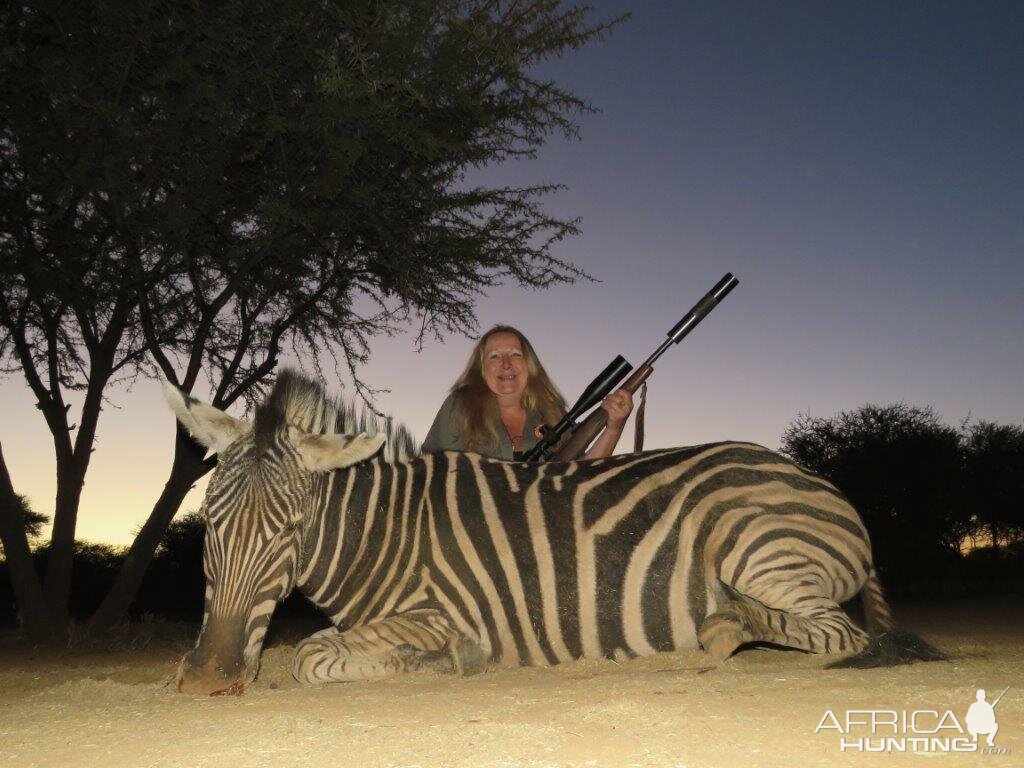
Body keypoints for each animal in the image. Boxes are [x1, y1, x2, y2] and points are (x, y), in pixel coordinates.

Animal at [165, 370, 942, 696]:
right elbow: (308, 646)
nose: (207, 677)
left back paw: (723, 630)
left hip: (757, 548)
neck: (383, 535)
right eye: (209, 526)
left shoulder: (444, 611)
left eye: (291, 530)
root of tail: (824, 487)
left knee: (836, 634)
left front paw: (440, 663)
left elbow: (311, 656)